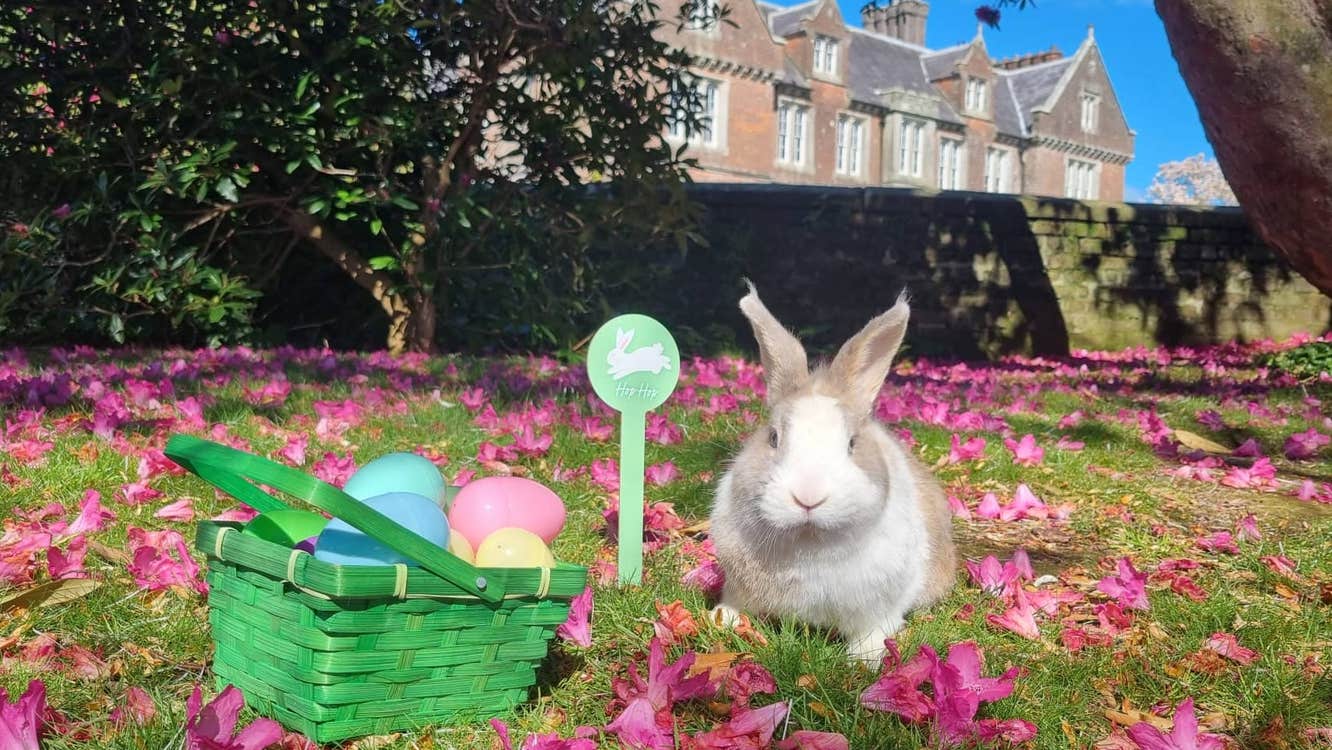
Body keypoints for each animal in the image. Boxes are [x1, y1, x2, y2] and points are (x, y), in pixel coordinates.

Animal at [708, 282, 956, 666]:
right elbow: (735, 605)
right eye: (773, 438)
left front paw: (863, 660)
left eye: (852, 443)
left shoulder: (880, 607)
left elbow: (874, 631)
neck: (809, 543)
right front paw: (722, 618)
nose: (808, 496)